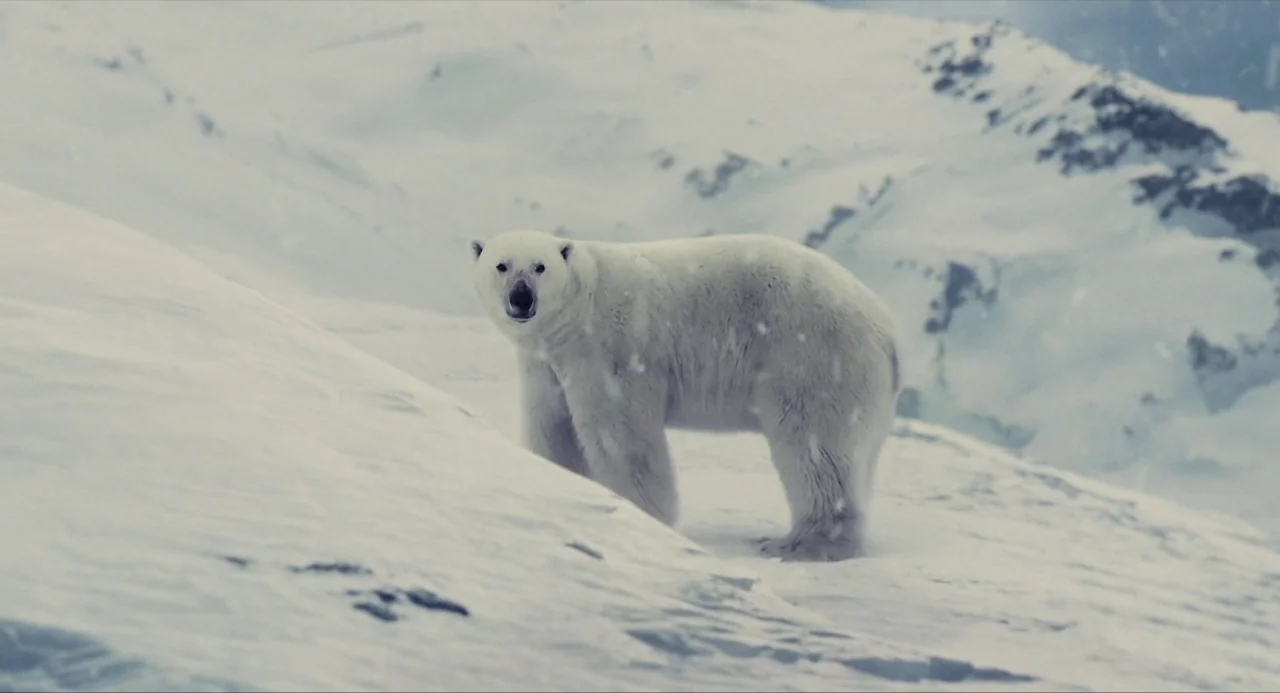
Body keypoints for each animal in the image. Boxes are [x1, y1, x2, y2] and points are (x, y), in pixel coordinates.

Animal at [470, 229, 901, 561]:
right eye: (501, 265)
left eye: (540, 266)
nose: (521, 298)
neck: (578, 312)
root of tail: (887, 330)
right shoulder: (545, 365)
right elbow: (553, 427)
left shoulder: (612, 352)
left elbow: (622, 436)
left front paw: (643, 516)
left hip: (812, 358)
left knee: (814, 445)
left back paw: (799, 544)